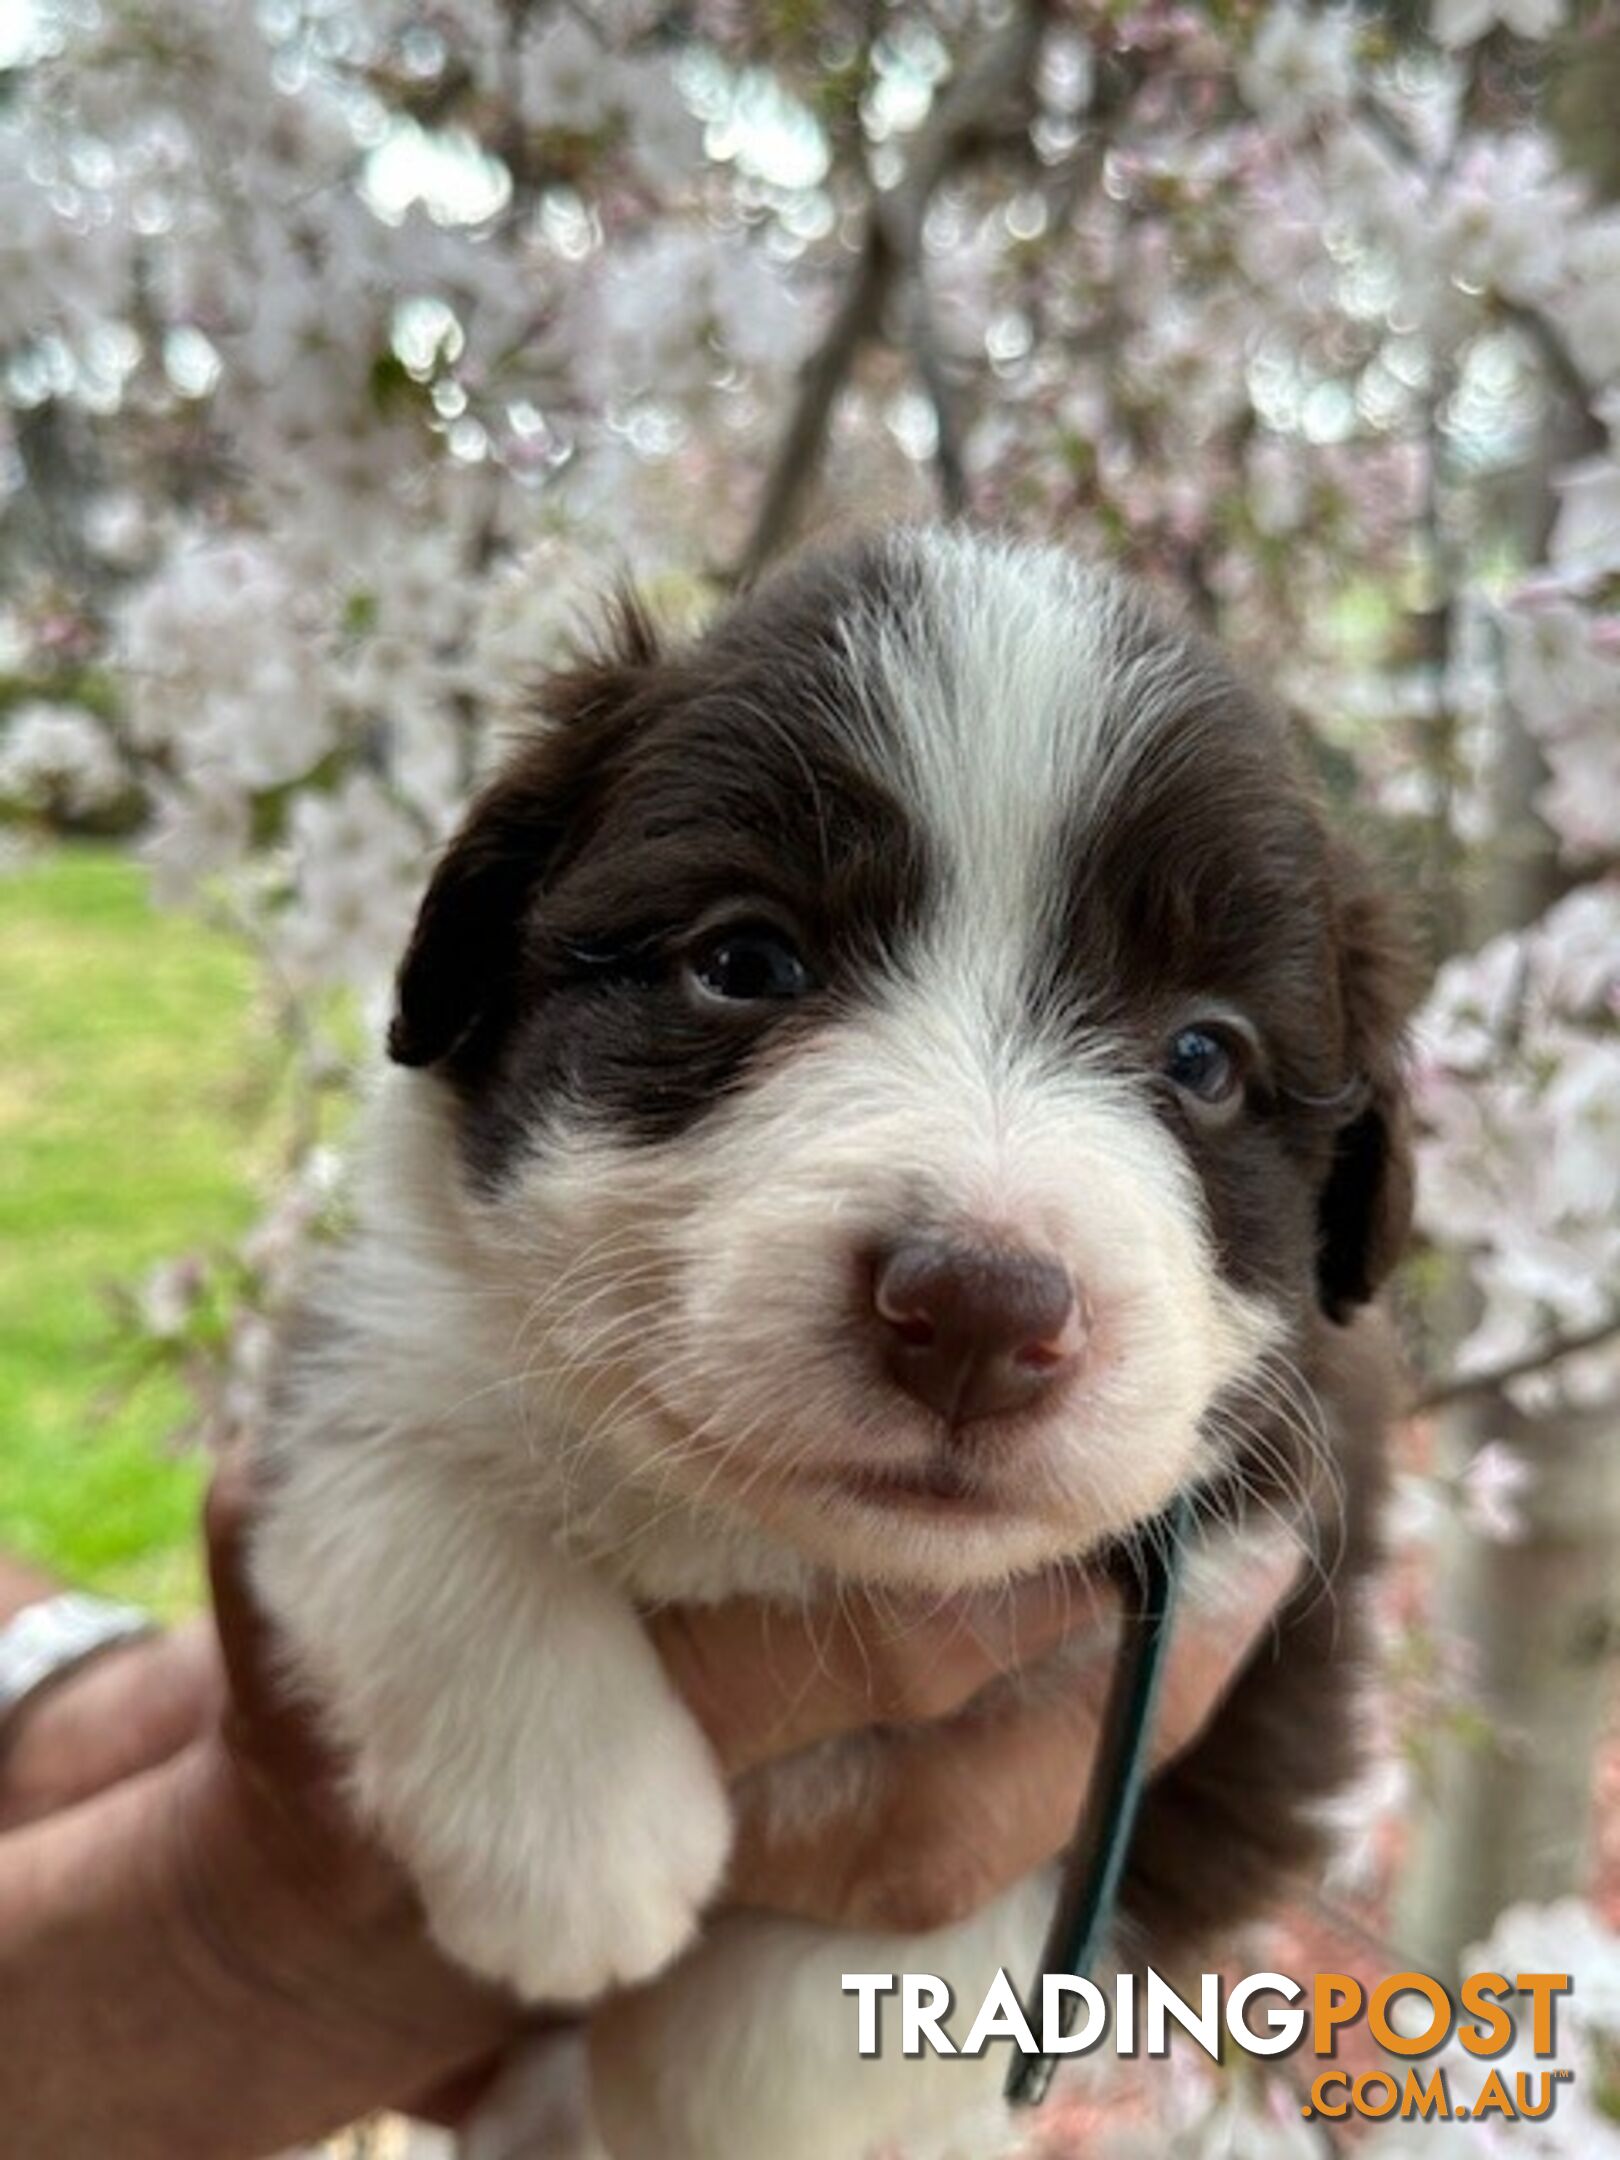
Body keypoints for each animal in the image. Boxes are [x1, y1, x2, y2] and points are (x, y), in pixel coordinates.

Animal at [250, 527, 1408, 2160]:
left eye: (1205, 1058)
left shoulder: (1257, 1639)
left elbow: (892, 1972)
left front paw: (702, 2080)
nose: (978, 1311)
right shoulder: (384, 1311)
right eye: (746, 961)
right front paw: (579, 1854)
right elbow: (399, 1468)